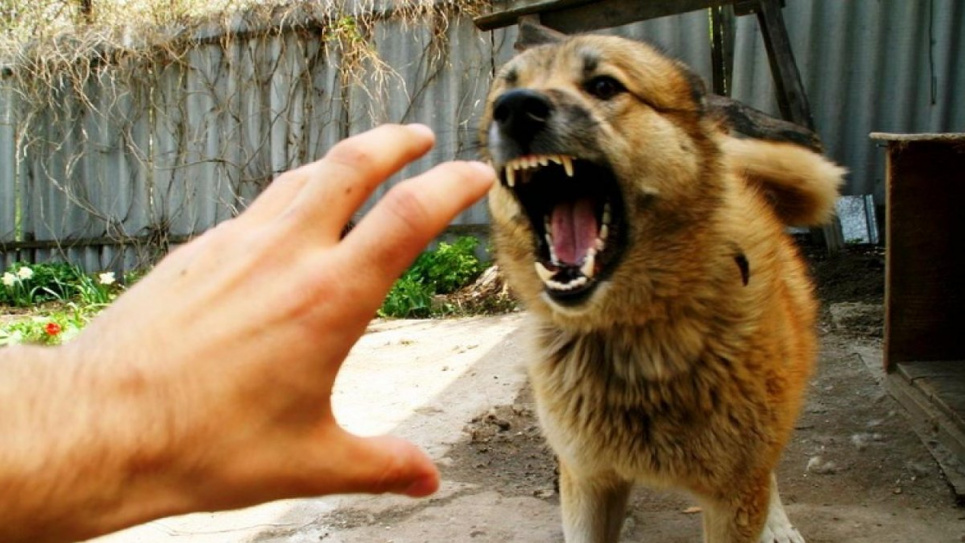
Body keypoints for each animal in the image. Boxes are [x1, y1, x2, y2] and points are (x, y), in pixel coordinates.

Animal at [482, 35, 844, 543]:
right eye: (502, 93)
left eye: (604, 86)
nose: (514, 109)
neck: (636, 337)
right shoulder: (590, 481)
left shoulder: (732, 497)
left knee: (768, 469)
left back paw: (777, 523)